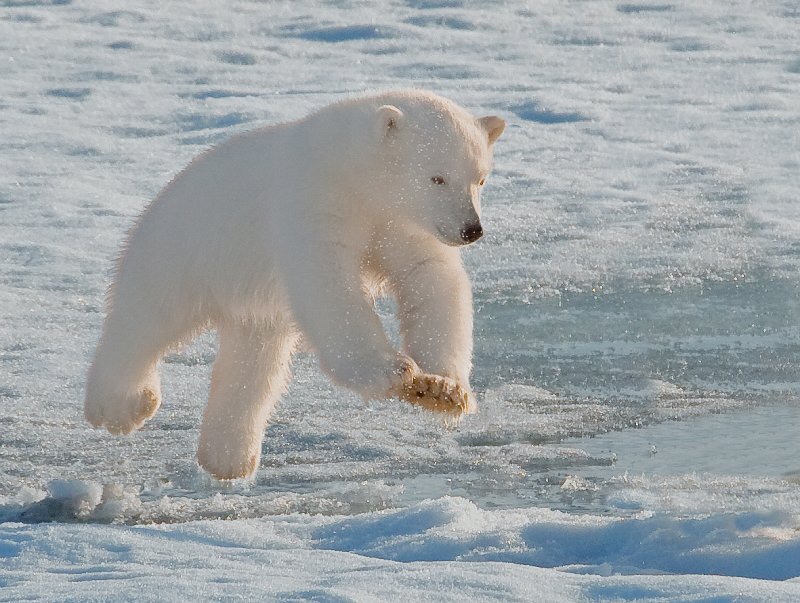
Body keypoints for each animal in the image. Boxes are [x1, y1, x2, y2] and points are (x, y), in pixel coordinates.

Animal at [84, 90, 505, 480]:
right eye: (437, 176)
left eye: (480, 179)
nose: (472, 230)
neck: (353, 173)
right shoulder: (314, 203)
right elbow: (329, 284)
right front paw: (392, 370)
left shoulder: (403, 224)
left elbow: (430, 279)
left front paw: (442, 389)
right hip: (185, 251)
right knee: (147, 319)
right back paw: (122, 406)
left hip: (253, 300)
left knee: (253, 364)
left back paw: (228, 459)